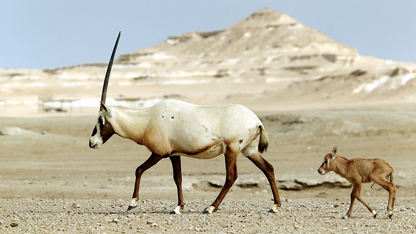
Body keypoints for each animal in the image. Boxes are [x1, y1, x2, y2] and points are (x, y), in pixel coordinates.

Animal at [89, 32, 282, 214]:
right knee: (269, 168)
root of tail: (257, 121)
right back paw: (275, 206)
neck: (147, 119)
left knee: (231, 176)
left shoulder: (159, 152)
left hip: (232, 150)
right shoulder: (174, 154)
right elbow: (178, 178)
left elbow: (139, 169)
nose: (91, 142)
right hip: (249, 150)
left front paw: (133, 203)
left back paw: (211, 207)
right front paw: (178, 207)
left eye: (100, 119)